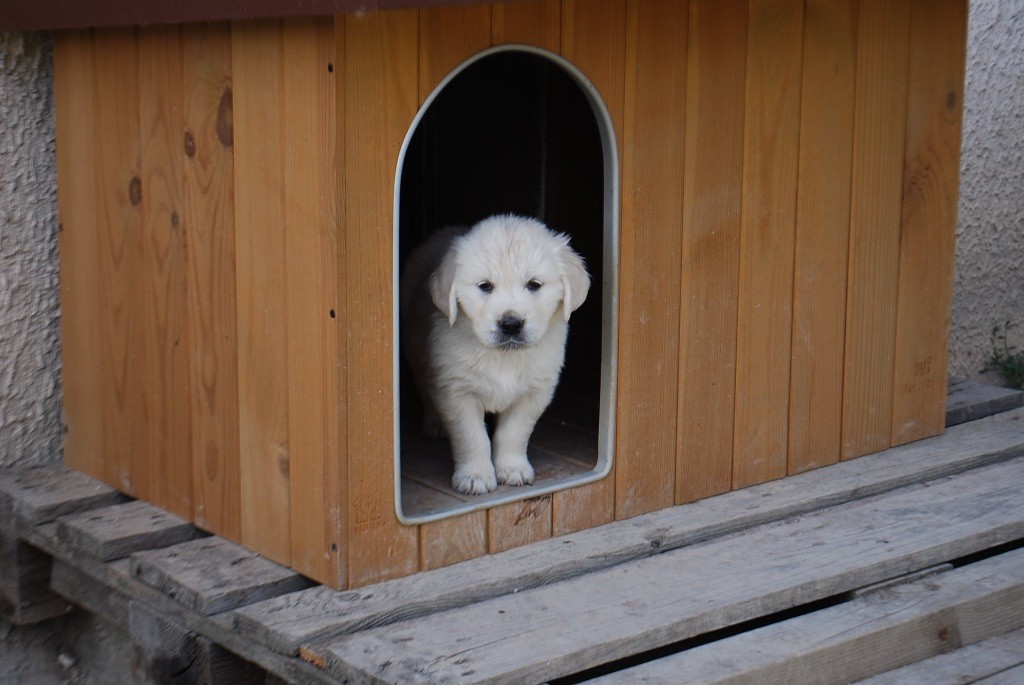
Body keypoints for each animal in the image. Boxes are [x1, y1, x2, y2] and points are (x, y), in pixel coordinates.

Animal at [401, 213, 593, 491]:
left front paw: (512, 469)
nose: (511, 324)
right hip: (416, 353)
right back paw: (435, 422)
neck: (504, 356)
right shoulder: (457, 391)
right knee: (426, 390)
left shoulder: (535, 392)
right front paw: (475, 476)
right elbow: (472, 437)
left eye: (534, 284)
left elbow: (513, 433)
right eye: (485, 286)